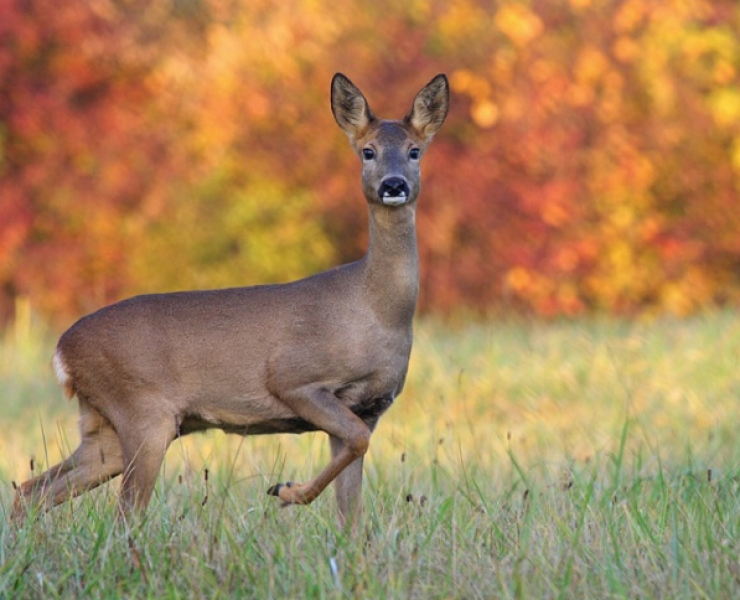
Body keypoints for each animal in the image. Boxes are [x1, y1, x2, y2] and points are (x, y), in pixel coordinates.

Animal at [13, 72, 450, 528]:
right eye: (368, 151)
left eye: (415, 150)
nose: (393, 185)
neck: (376, 311)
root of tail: (62, 352)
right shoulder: (294, 378)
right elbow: (357, 443)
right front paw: (284, 490)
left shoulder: (367, 409)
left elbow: (351, 509)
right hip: (142, 413)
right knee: (123, 515)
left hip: (104, 428)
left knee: (31, 490)